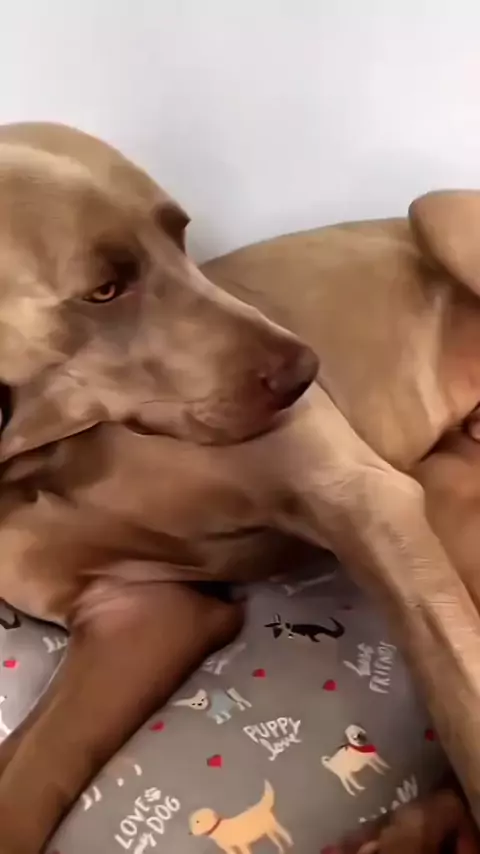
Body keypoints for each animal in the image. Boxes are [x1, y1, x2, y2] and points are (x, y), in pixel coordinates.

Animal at [0, 123, 477, 852]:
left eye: (182, 235)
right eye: (104, 289)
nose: (307, 371)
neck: (43, 460)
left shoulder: (359, 497)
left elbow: (461, 693)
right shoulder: (137, 612)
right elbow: (20, 780)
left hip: (438, 213)